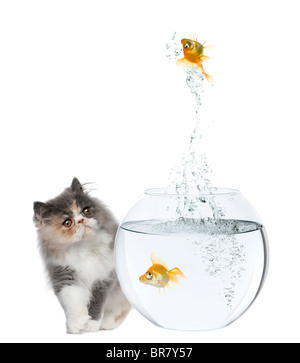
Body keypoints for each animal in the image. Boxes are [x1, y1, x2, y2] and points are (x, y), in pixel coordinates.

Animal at [32, 178, 131, 334]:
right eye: (67, 222)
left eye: (86, 211)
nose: (81, 221)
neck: (85, 247)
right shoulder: (65, 276)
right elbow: (73, 301)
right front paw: (76, 324)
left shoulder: (105, 277)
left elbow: (96, 303)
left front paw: (91, 325)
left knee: (122, 307)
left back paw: (107, 323)